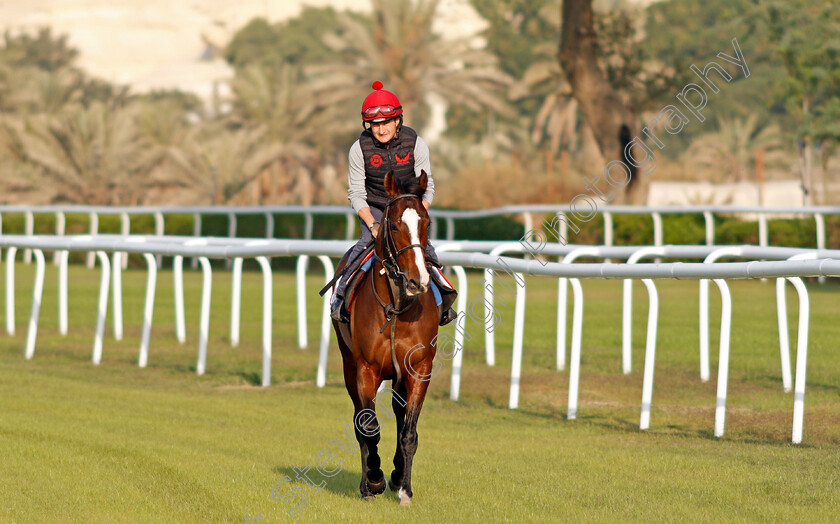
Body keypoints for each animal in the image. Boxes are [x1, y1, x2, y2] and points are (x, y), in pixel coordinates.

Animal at [332, 170, 440, 506]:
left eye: (426, 222)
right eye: (393, 225)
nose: (419, 280)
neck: (396, 306)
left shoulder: (419, 368)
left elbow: (408, 430)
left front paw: (404, 487)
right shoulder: (366, 369)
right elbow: (368, 427)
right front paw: (373, 481)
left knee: (398, 412)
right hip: (348, 365)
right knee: (361, 420)